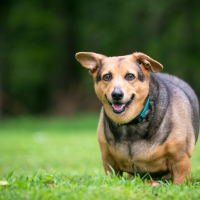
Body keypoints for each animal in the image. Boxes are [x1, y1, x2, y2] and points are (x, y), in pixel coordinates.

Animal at [74, 51, 198, 184]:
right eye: (107, 76)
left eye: (130, 76)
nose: (116, 94)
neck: (130, 123)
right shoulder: (109, 161)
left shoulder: (180, 161)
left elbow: (179, 182)